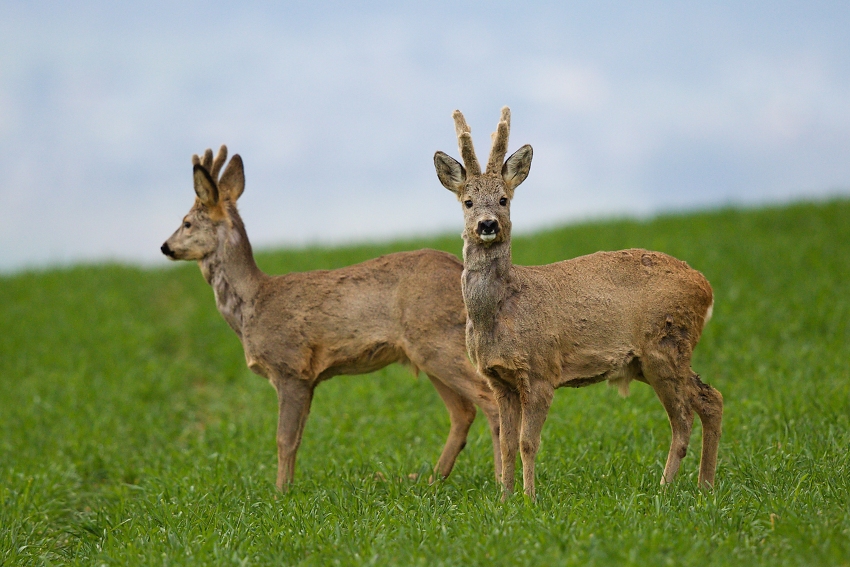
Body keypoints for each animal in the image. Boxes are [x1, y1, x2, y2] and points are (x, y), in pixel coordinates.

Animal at [161, 145, 502, 490]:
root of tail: (458, 268)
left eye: (186, 223)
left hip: (437, 340)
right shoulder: (308, 379)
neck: (253, 303)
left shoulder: (290, 367)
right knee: (463, 412)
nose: (165, 247)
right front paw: (289, 488)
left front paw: (279, 492)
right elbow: (297, 438)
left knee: (489, 399)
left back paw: (500, 483)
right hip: (426, 351)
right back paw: (431, 479)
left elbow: (284, 439)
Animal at [433, 108, 723, 500]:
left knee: (688, 414)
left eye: (505, 199)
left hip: (666, 345)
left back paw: (668, 488)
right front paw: (505, 499)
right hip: (649, 360)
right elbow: (506, 443)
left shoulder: (541, 369)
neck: (500, 311)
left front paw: (530, 499)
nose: (488, 224)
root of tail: (706, 286)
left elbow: (527, 443)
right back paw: (703, 486)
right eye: (468, 202)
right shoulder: (499, 379)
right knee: (708, 400)